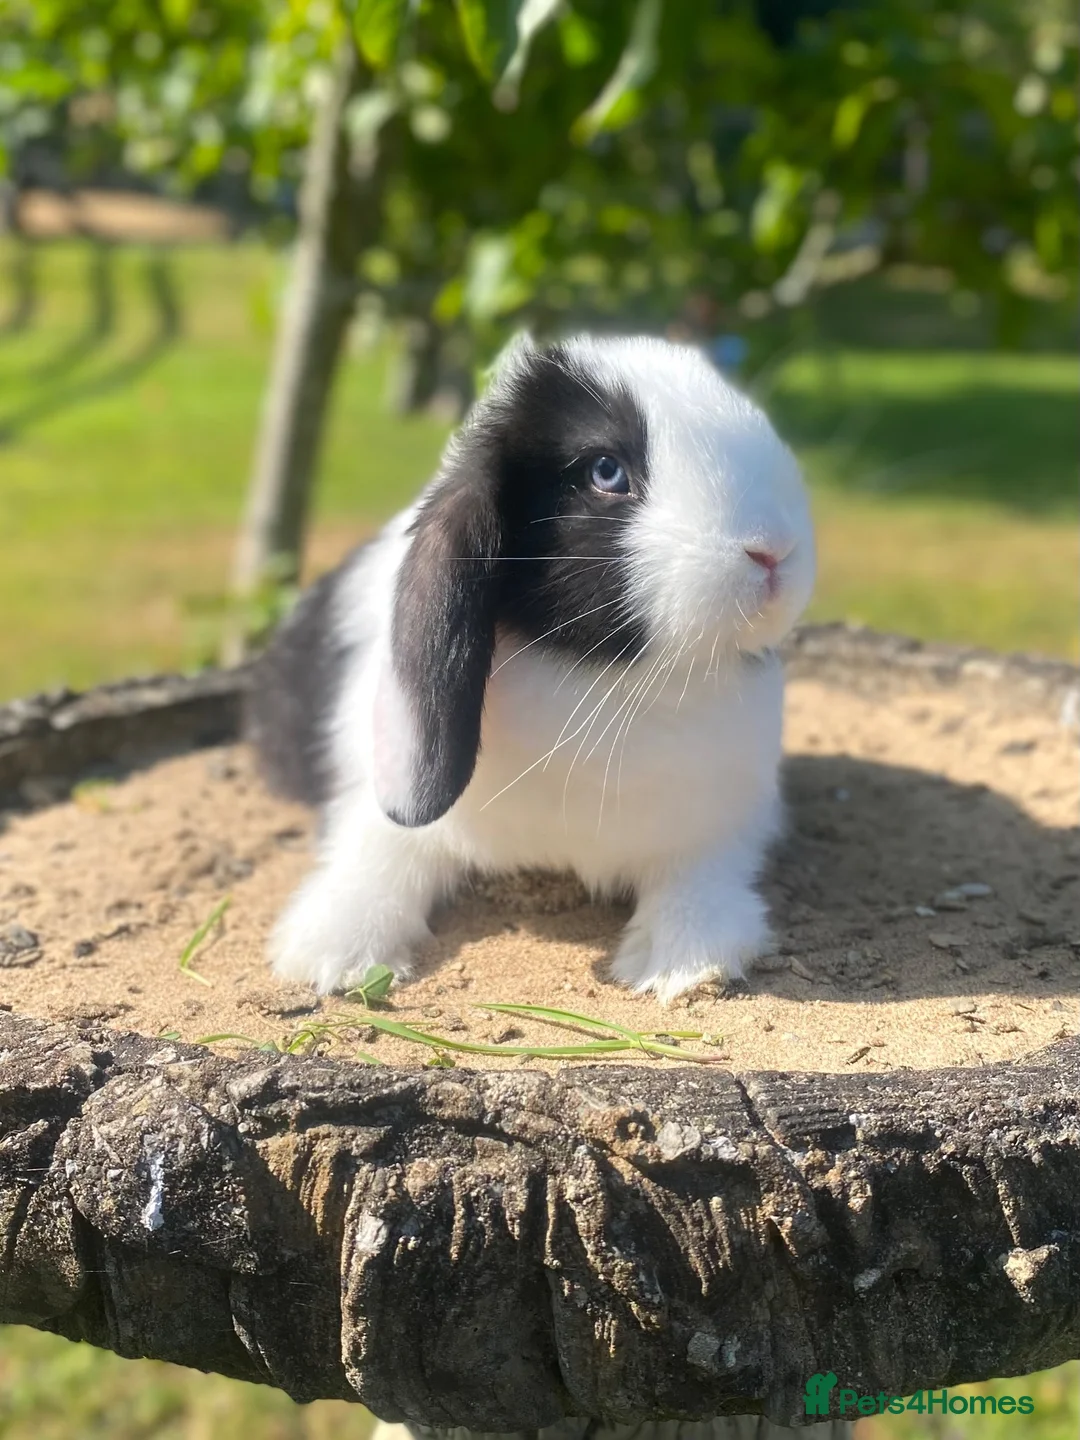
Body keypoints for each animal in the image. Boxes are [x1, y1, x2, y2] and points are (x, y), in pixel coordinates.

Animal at [245, 333, 815, 1003]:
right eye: (605, 471)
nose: (773, 549)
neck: (604, 680)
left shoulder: (723, 817)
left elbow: (701, 872)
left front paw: (684, 960)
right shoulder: (383, 794)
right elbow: (380, 851)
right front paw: (333, 954)